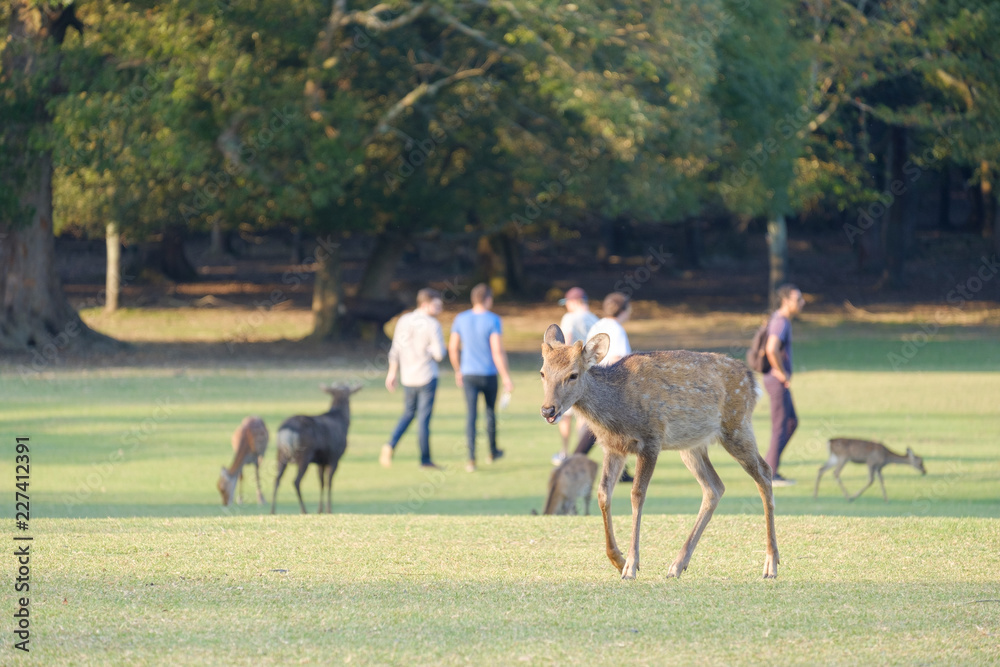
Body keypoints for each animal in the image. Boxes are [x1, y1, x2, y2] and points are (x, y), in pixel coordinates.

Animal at [271, 383, 362, 515]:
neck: (342, 423)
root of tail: (286, 429)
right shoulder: (334, 457)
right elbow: (329, 482)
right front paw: (329, 510)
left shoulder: (321, 461)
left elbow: (321, 482)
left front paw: (320, 510)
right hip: (304, 454)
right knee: (296, 481)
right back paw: (304, 510)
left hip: (280, 454)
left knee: (277, 479)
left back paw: (272, 510)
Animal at [539, 324, 778, 580]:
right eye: (542, 373)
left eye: (573, 374)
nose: (548, 410)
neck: (617, 411)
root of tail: (752, 382)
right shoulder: (613, 448)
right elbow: (603, 493)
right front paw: (618, 560)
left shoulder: (651, 439)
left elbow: (637, 495)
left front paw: (631, 566)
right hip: (692, 446)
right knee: (715, 487)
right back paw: (677, 565)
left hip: (737, 425)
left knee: (764, 473)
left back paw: (771, 564)